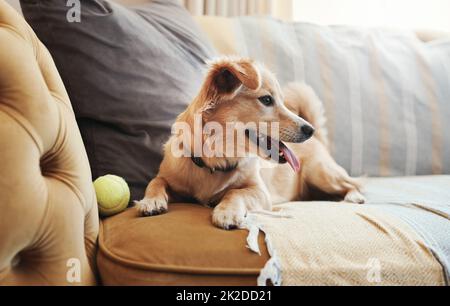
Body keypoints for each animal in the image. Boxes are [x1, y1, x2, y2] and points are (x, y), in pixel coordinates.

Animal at [135, 57, 364, 230]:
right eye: (267, 100)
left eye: (281, 101)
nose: (310, 130)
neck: (217, 159)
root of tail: (318, 140)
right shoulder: (170, 178)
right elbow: (156, 181)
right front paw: (150, 201)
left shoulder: (260, 192)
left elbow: (235, 192)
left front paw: (226, 212)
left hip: (321, 174)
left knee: (353, 183)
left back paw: (354, 197)